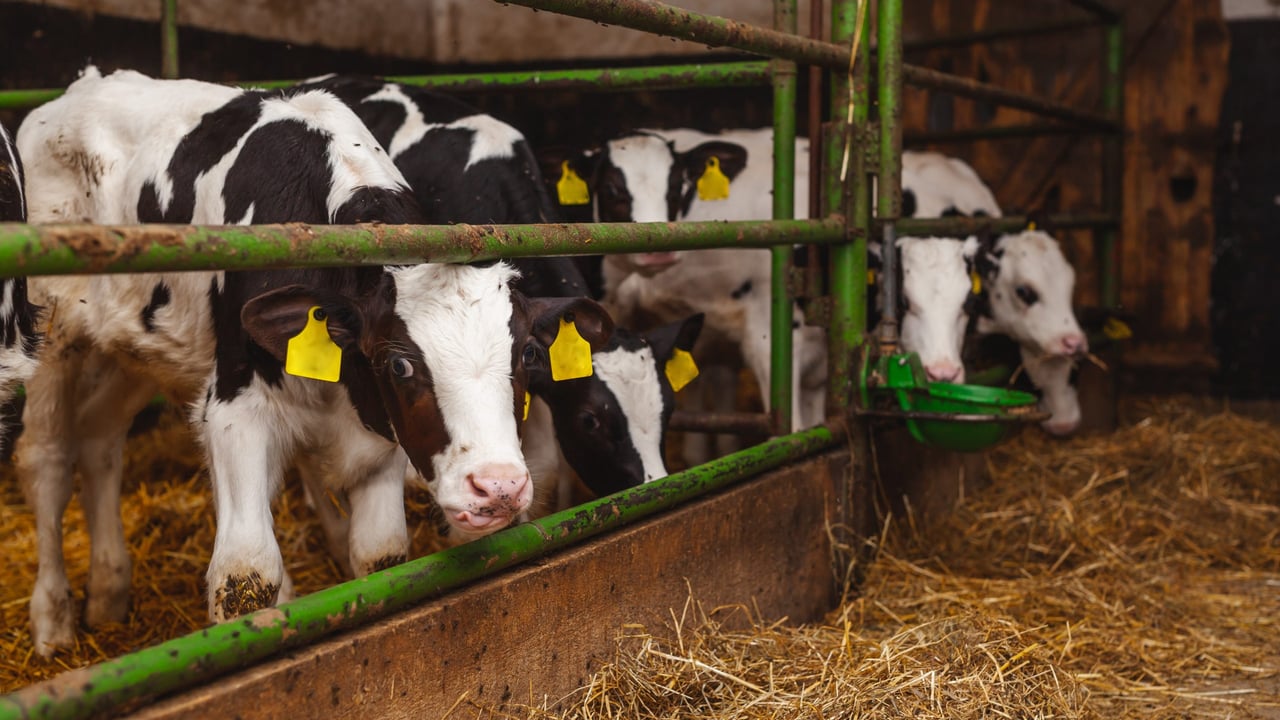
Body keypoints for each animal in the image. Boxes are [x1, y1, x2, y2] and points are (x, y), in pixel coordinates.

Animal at [15, 67, 611, 655]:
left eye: (528, 353)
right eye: (399, 365)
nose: (500, 488)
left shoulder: (378, 428)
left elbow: (381, 554)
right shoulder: (235, 410)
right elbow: (246, 576)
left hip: (140, 345)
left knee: (99, 433)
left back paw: (108, 592)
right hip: (49, 333)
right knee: (47, 459)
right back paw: (52, 622)